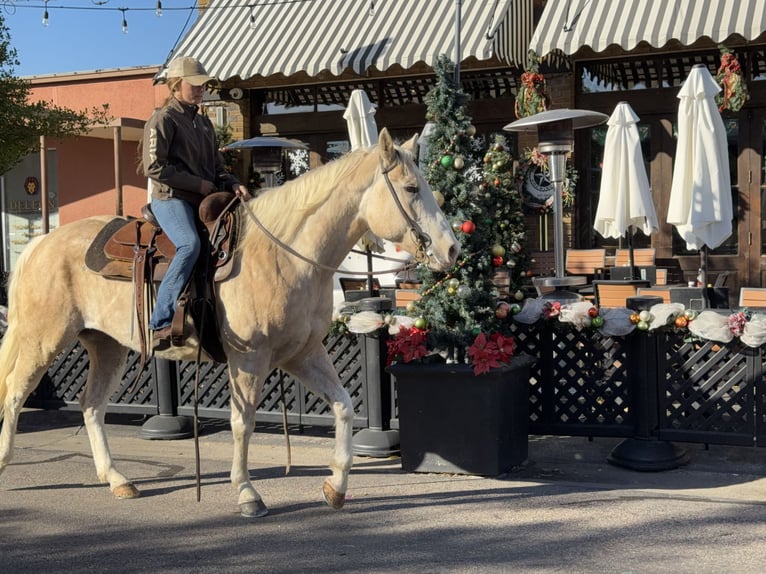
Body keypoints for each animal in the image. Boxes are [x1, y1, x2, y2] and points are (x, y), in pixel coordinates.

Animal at [0, 128, 460, 517]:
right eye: (411, 188)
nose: (452, 249)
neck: (283, 253)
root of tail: (41, 242)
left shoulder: (302, 354)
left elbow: (344, 406)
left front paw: (336, 486)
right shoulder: (250, 358)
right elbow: (244, 423)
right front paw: (247, 493)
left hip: (106, 346)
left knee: (92, 405)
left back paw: (117, 480)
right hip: (43, 340)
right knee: (16, 396)